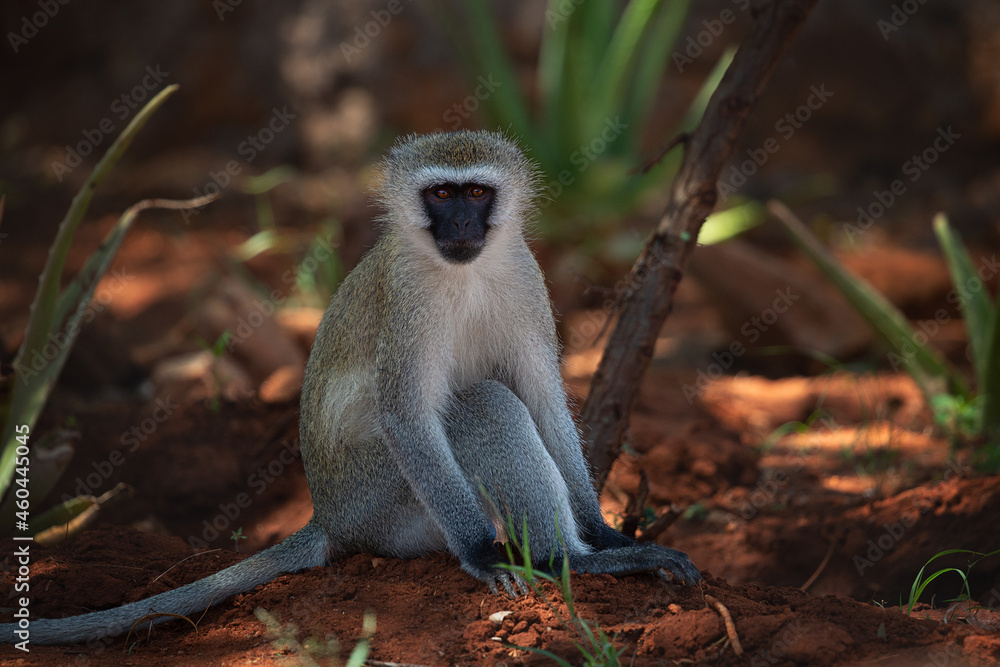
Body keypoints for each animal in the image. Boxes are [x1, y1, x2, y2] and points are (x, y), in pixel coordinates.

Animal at [2, 130, 699, 646]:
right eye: (440, 194)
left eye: (476, 192)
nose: (461, 227)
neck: (462, 273)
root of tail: (328, 516)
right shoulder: (407, 304)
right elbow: (409, 417)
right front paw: (485, 555)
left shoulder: (526, 280)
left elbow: (548, 402)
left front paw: (605, 531)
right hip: (384, 506)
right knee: (483, 407)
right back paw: (565, 561)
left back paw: (585, 552)